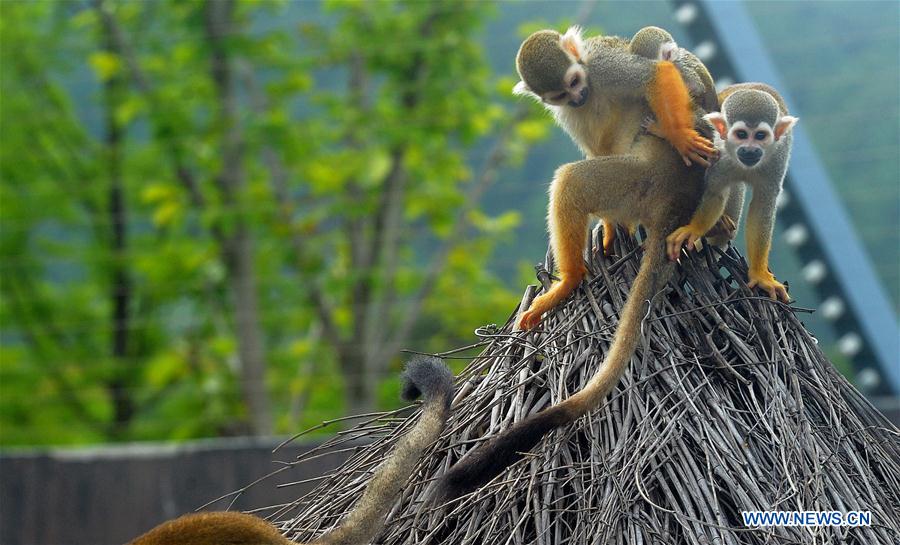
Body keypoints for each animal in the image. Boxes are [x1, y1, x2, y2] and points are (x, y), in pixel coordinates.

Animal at [512, 24, 716, 254]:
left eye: (574, 82)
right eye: (560, 96)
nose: (576, 98)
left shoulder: (602, 65)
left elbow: (654, 74)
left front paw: (681, 137)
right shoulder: (565, 110)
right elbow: (595, 150)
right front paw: (609, 225)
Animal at [664, 83, 800, 302]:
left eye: (760, 136)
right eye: (741, 135)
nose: (750, 150)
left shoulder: (777, 158)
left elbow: (763, 204)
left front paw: (759, 275)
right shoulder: (720, 152)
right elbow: (715, 191)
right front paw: (694, 229)